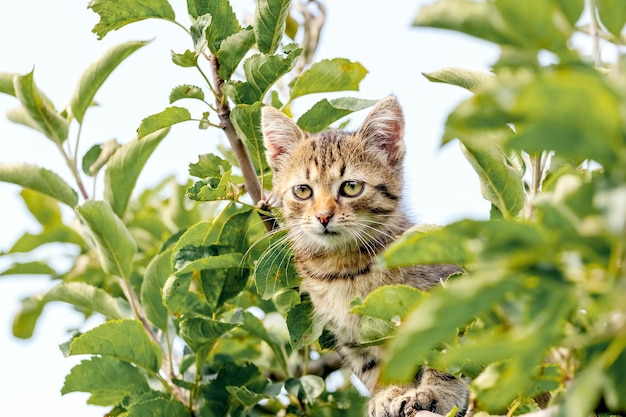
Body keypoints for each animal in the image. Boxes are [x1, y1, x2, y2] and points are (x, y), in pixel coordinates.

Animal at [260, 96, 468, 416]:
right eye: (303, 191)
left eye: (351, 187)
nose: (323, 216)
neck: (344, 269)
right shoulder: (353, 339)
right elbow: (378, 365)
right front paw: (388, 393)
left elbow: (447, 354)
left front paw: (435, 393)